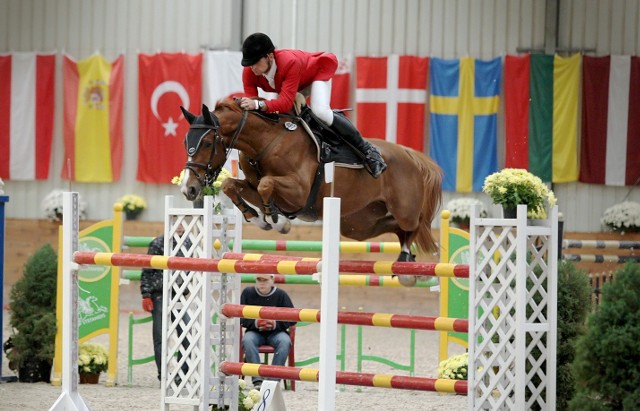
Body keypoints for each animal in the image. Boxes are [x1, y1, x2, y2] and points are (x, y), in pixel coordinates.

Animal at [178, 101, 442, 286]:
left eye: (207, 143)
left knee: (415, 225)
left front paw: (277, 220)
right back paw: (407, 265)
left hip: (404, 210)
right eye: (185, 142)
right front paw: (258, 218)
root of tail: (411, 155)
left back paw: (408, 264)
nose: (189, 189)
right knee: (394, 228)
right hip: (358, 224)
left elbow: (266, 185)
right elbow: (231, 185)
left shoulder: (299, 192)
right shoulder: (255, 187)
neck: (266, 141)